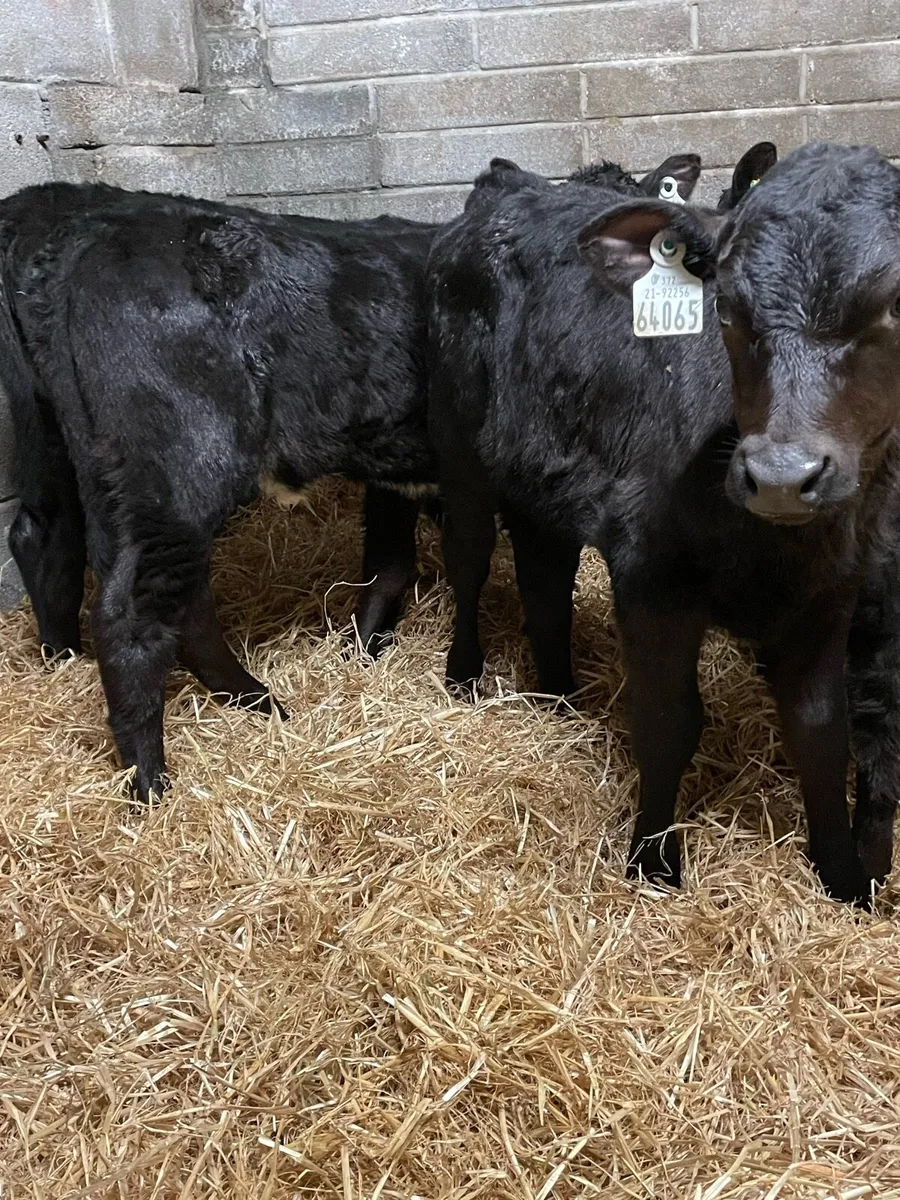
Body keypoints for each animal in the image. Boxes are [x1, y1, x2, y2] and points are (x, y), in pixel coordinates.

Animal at [426, 141, 899, 905]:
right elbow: (667, 723)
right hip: (458, 442)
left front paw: (846, 878)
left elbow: (822, 734)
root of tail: (505, 191)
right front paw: (651, 861)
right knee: (468, 558)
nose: (781, 474)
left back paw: (558, 696)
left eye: (892, 306)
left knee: (544, 580)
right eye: (726, 308)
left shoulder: (831, 591)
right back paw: (465, 673)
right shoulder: (651, 576)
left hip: (543, 478)